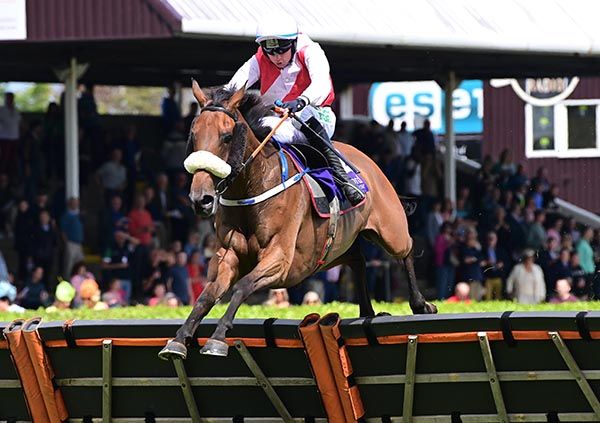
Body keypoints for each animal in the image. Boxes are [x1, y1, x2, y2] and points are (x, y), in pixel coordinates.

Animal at [158, 80, 436, 362]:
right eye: (194, 136)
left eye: (226, 136)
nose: (200, 199)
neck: (253, 186)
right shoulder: (229, 256)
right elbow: (206, 296)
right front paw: (179, 339)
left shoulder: (280, 260)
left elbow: (242, 287)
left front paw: (217, 338)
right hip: (333, 251)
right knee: (358, 259)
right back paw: (367, 311)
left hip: (390, 230)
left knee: (407, 250)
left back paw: (421, 304)